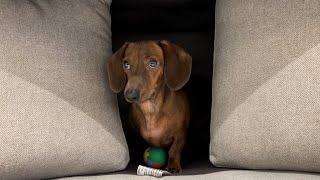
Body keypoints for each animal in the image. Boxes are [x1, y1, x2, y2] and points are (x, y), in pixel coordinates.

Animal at [106, 40, 191, 172]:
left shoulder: (180, 134)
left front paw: (173, 165)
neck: (150, 109)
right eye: (126, 64)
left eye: (153, 63)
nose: (130, 94)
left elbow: (174, 149)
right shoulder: (134, 132)